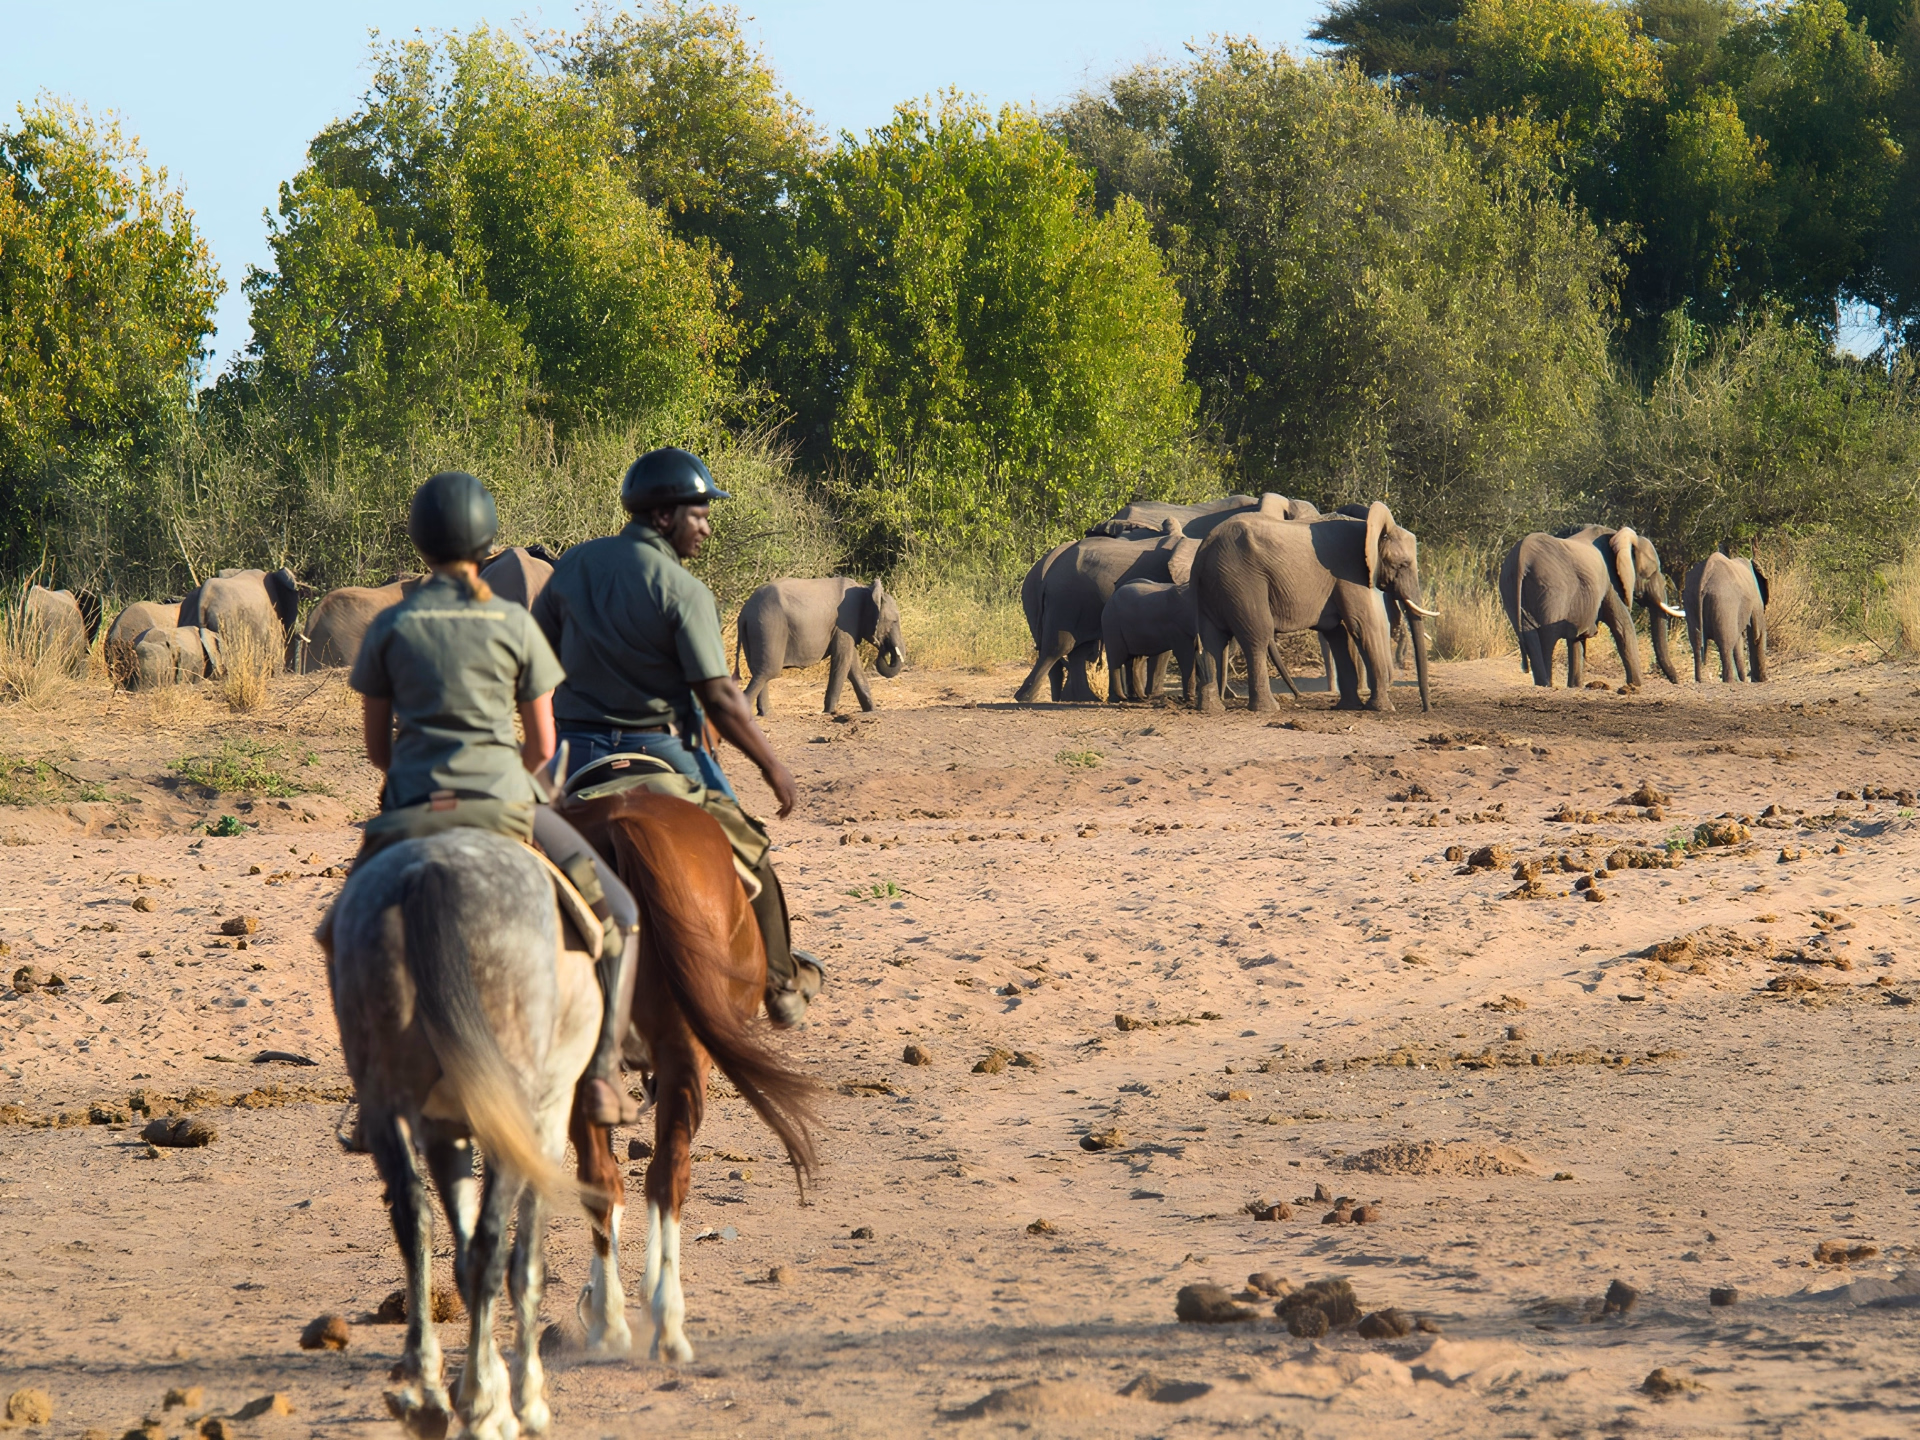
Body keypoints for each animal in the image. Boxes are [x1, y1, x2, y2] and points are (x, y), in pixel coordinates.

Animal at [323, 827, 599, 1440]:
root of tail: (432, 873)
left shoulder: (443, 1128)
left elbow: (459, 1251)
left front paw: (487, 1388)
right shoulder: (543, 1124)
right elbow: (524, 1263)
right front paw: (521, 1399)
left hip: (389, 1103)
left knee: (414, 1220)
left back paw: (428, 1394)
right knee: (494, 1245)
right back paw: (475, 1403)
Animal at [559, 785, 818, 1363]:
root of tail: (619, 821)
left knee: (603, 1181)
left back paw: (609, 1327)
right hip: (686, 1056)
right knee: (668, 1174)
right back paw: (668, 1323)